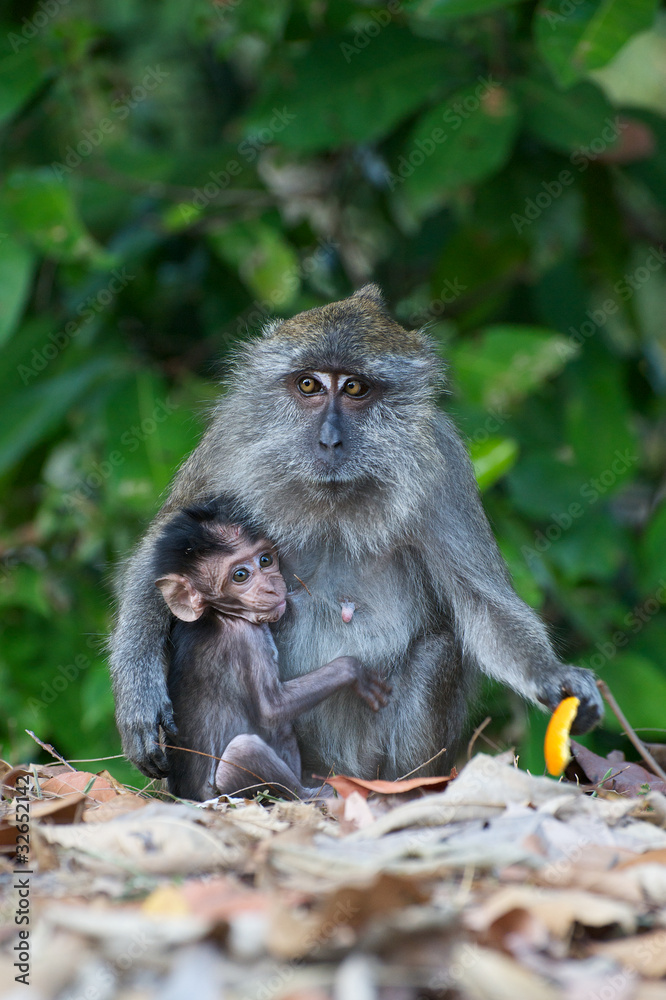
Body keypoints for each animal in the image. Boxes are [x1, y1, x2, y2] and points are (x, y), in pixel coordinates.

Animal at [154, 497, 391, 800]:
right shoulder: (245, 638)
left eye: (265, 560)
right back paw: (314, 794)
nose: (270, 587)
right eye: (240, 575)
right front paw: (354, 671)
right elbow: (271, 708)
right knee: (244, 749)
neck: (219, 613)